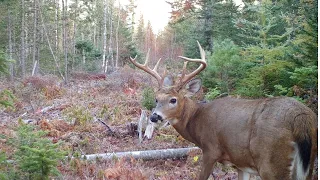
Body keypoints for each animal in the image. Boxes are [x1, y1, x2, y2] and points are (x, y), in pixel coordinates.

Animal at [129, 41, 318, 179]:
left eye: (173, 100)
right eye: (156, 98)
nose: (154, 117)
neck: (196, 120)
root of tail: (301, 119)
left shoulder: (211, 150)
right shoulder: (242, 164)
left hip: (271, 162)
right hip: (307, 164)